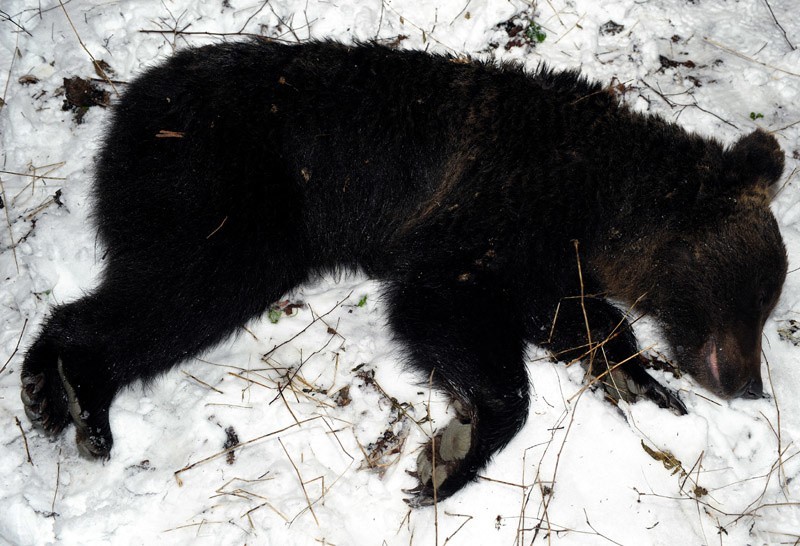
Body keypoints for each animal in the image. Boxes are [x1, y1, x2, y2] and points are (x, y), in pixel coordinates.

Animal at [20, 40, 788, 504]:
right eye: (755, 293)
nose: (748, 383)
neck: (600, 200)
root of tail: (130, 104)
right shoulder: (487, 211)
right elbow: (443, 307)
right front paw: (453, 452)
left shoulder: (542, 256)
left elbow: (574, 317)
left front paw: (648, 385)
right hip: (224, 185)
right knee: (184, 292)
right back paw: (74, 395)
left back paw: (59, 396)